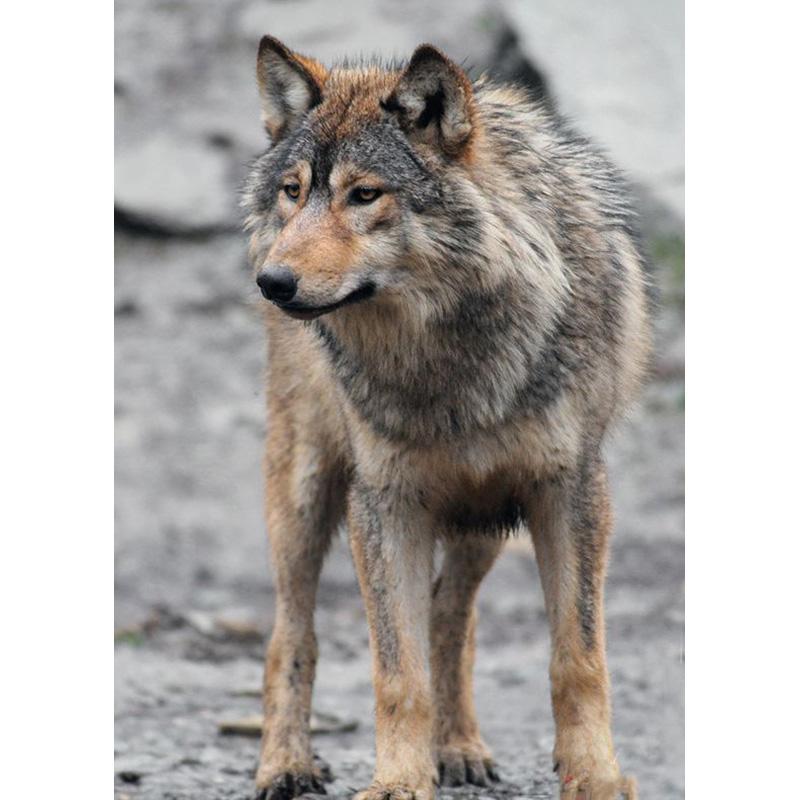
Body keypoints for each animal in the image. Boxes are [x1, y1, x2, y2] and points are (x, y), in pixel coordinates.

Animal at [243, 35, 651, 800]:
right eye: (294, 191)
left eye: (364, 194)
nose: (272, 282)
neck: (449, 362)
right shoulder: (386, 502)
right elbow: (396, 675)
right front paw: (399, 782)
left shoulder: (569, 490)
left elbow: (578, 659)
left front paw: (596, 777)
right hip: (304, 498)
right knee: (291, 634)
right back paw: (285, 765)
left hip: (481, 520)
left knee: (449, 615)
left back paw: (458, 747)